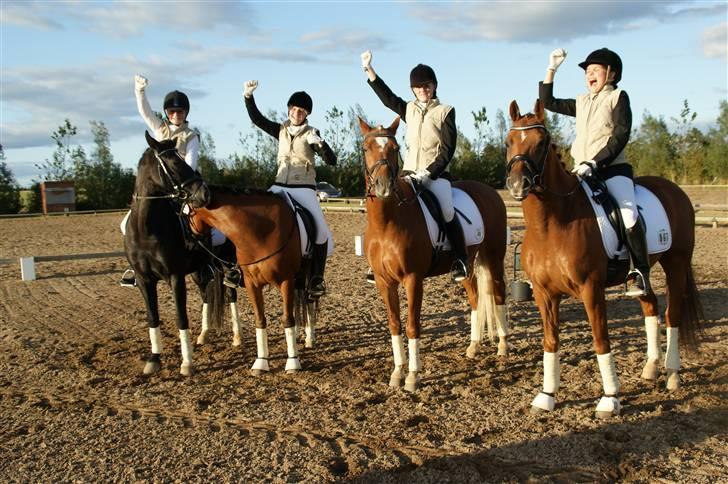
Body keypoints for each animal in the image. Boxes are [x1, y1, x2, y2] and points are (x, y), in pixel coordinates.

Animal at [123, 132, 235, 378]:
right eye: (174, 163)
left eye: (185, 160)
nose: (205, 194)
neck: (147, 231)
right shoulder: (144, 280)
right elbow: (152, 316)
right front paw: (154, 359)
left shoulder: (175, 277)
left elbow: (180, 316)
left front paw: (187, 363)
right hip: (201, 270)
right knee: (206, 295)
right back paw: (204, 335)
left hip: (228, 265)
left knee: (232, 295)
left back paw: (237, 337)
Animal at [188, 184, 318, 374]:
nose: (190, 247)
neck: (259, 234)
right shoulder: (251, 283)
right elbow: (259, 319)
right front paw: (261, 362)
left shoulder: (286, 280)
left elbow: (287, 319)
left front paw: (293, 362)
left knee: (309, 299)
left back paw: (310, 337)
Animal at [356, 117, 506, 394]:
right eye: (365, 148)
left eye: (394, 148)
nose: (383, 186)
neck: (388, 222)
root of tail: (489, 191)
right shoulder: (384, 282)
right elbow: (395, 324)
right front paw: (397, 373)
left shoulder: (413, 280)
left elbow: (412, 325)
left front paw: (413, 377)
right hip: (468, 265)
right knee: (476, 299)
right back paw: (473, 347)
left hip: (494, 255)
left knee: (499, 293)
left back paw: (503, 346)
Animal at [506, 100, 700, 418]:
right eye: (508, 141)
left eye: (542, 142)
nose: (518, 184)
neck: (552, 223)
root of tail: (674, 189)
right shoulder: (544, 294)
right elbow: (551, 340)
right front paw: (547, 395)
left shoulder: (590, 289)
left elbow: (600, 340)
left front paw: (610, 399)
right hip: (643, 274)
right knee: (650, 305)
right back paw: (651, 368)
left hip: (677, 262)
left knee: (673, 315)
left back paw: (672, 374)